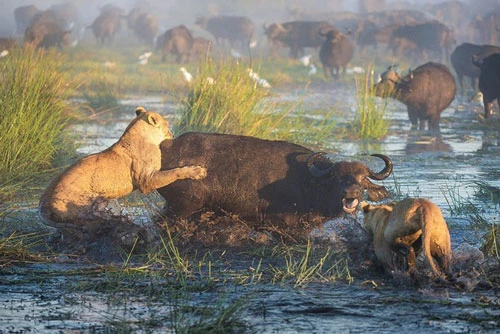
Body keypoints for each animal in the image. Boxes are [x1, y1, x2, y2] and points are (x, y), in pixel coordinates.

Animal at [38, 107, 207, 250]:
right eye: (166, 124)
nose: (172, 133)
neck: (139, 134)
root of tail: (43, 201)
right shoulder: (147, 180)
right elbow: (173, 172)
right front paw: (197, 171)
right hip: (80, 210)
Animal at [158, 133, 392, 232]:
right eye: (336, 176)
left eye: (363, 179)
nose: (350, 191)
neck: (307, 183)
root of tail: (168, 148)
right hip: (182, 206)